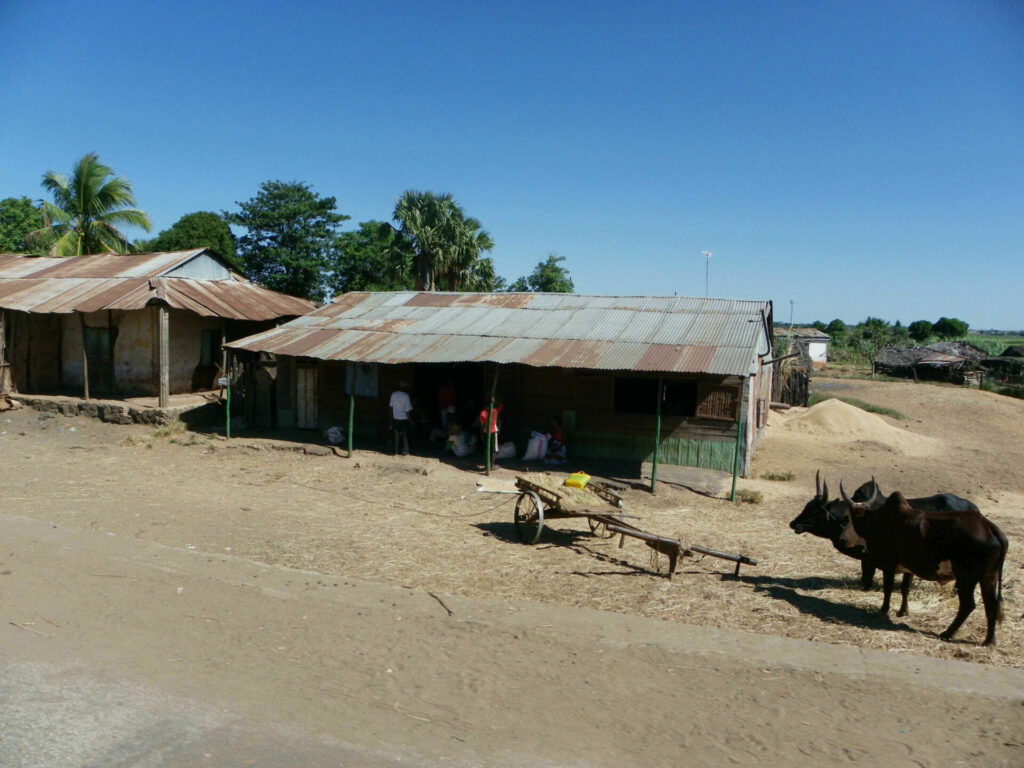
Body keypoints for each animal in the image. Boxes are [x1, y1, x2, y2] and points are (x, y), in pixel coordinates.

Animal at [839, 482, 1008, 646]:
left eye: (849, 517)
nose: (842, 539)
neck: (879, 520)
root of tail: (988, 527)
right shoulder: (908, 569)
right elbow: (905, 588)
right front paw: (902, 612)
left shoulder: (889, 564)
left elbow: (888, 588)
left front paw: (884, 609)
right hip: (989, 577)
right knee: (991, 605)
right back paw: (989, 641)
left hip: (965, 578)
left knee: (968, 605)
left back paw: (947, 633)